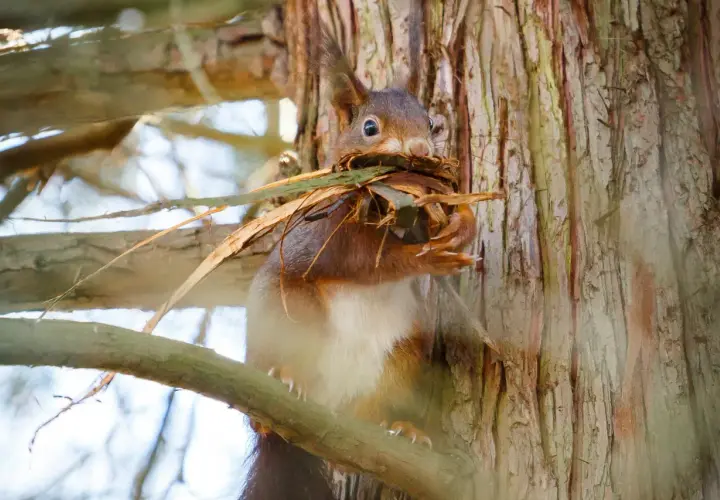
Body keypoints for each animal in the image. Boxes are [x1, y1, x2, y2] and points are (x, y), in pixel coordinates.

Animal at [240, 25, 477, 500]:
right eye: (370, 127)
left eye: (430, 123)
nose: (420, 148)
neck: (392, 204)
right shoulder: (328, 231)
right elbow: (368, 261)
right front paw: (421, 256)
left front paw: (462, 223)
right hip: (288, 315)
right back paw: (285, 384)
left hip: (402, 360)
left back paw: (400, 429)